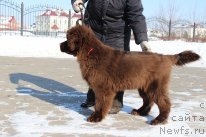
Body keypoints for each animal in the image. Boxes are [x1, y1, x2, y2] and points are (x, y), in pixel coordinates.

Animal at [59, 24, 200, 124]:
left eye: (67, 38)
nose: (60, 45)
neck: (91, 53)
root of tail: (166, 57)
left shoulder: (102, 88)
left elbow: (99, 104)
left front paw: (96, 117)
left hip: (156, 85)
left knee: (164, 103)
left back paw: (159, 120)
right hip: (145, 86)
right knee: (148, 101)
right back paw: (140, 112)